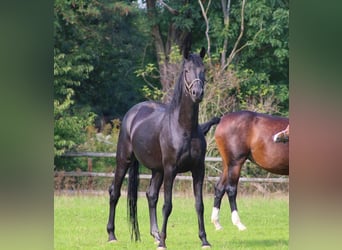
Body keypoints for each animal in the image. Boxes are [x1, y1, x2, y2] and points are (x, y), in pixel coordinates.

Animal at [106, 47, 211, 249]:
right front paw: (163, 241)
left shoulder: (198, 169)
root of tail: (133, 113)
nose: (197, 93)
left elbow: (199, 205)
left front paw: (204, 240)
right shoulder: (171, 169)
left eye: (203, 70)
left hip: (157, 170)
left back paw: (154, 234)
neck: (184, 128)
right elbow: (167, 205)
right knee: (114, 192)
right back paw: (111, 235)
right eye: (186, 71)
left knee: (151, 195)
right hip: (124, 160)